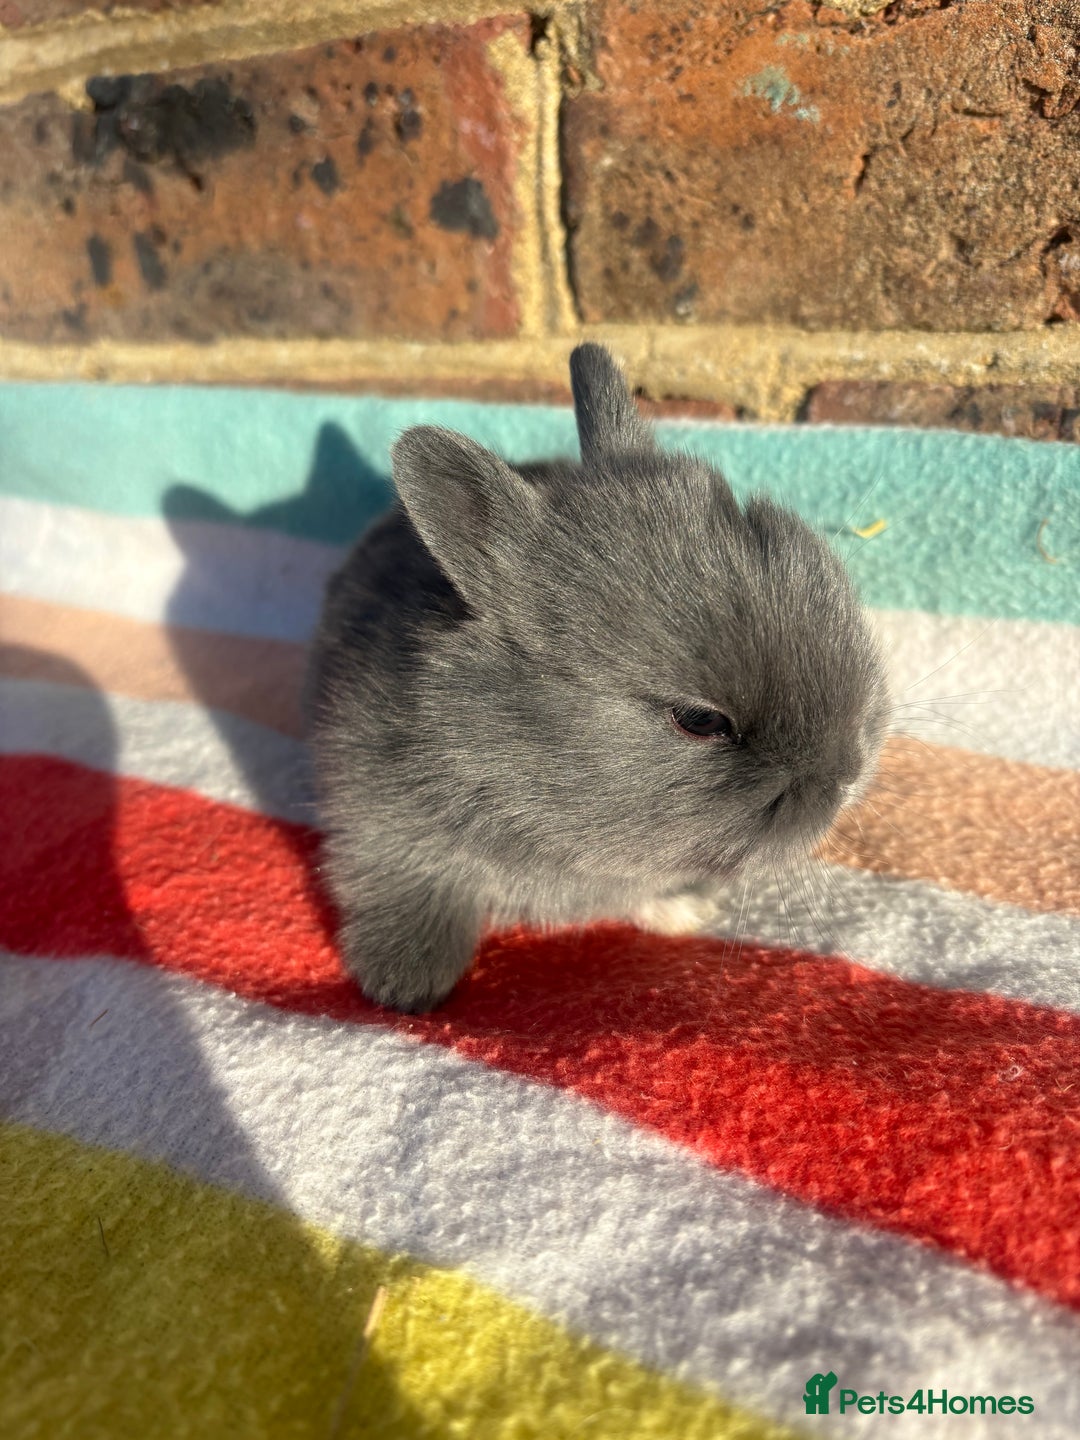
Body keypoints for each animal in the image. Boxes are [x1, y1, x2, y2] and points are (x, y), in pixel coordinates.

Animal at [307, 343, 890, 1012]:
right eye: (700, 721)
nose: (847, 775)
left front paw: (682, 909)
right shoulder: (376, 819)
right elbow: (401, 884)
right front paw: (407, 986)